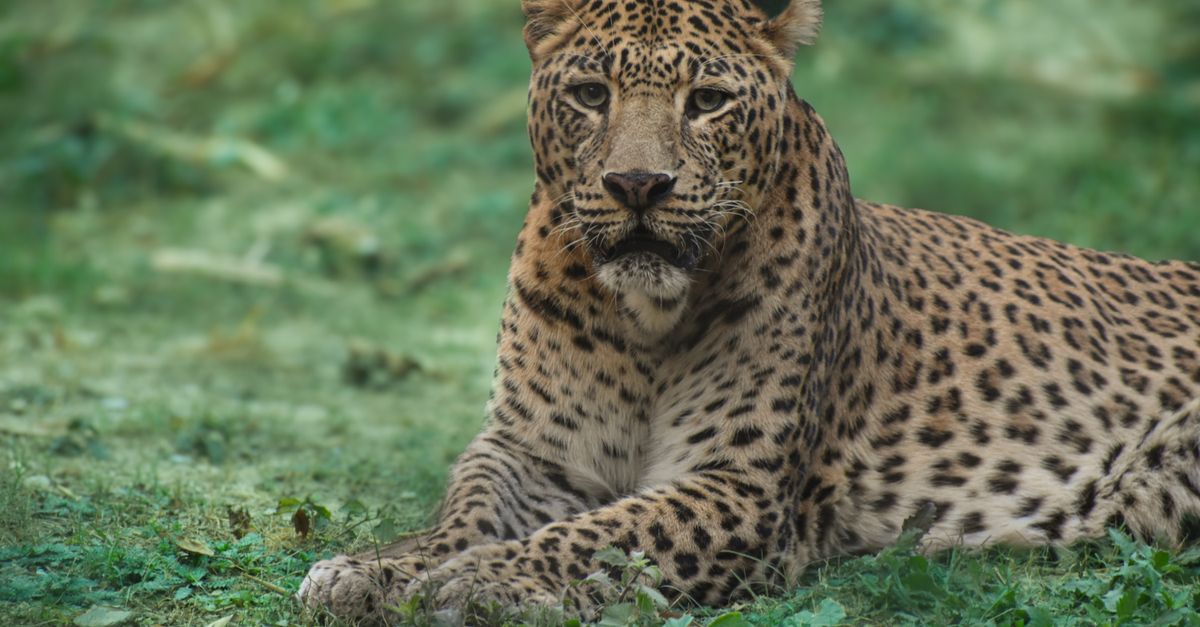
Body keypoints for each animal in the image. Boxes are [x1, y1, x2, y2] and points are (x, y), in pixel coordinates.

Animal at [299, 0, 1200, 622]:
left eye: (707, 101)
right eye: (590, 93)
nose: (638, 185)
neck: (643, 317)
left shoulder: (742, 484)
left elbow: (605, 533)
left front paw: (486, 578)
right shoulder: (534, 449)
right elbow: (470, 507)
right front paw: (377, 567)